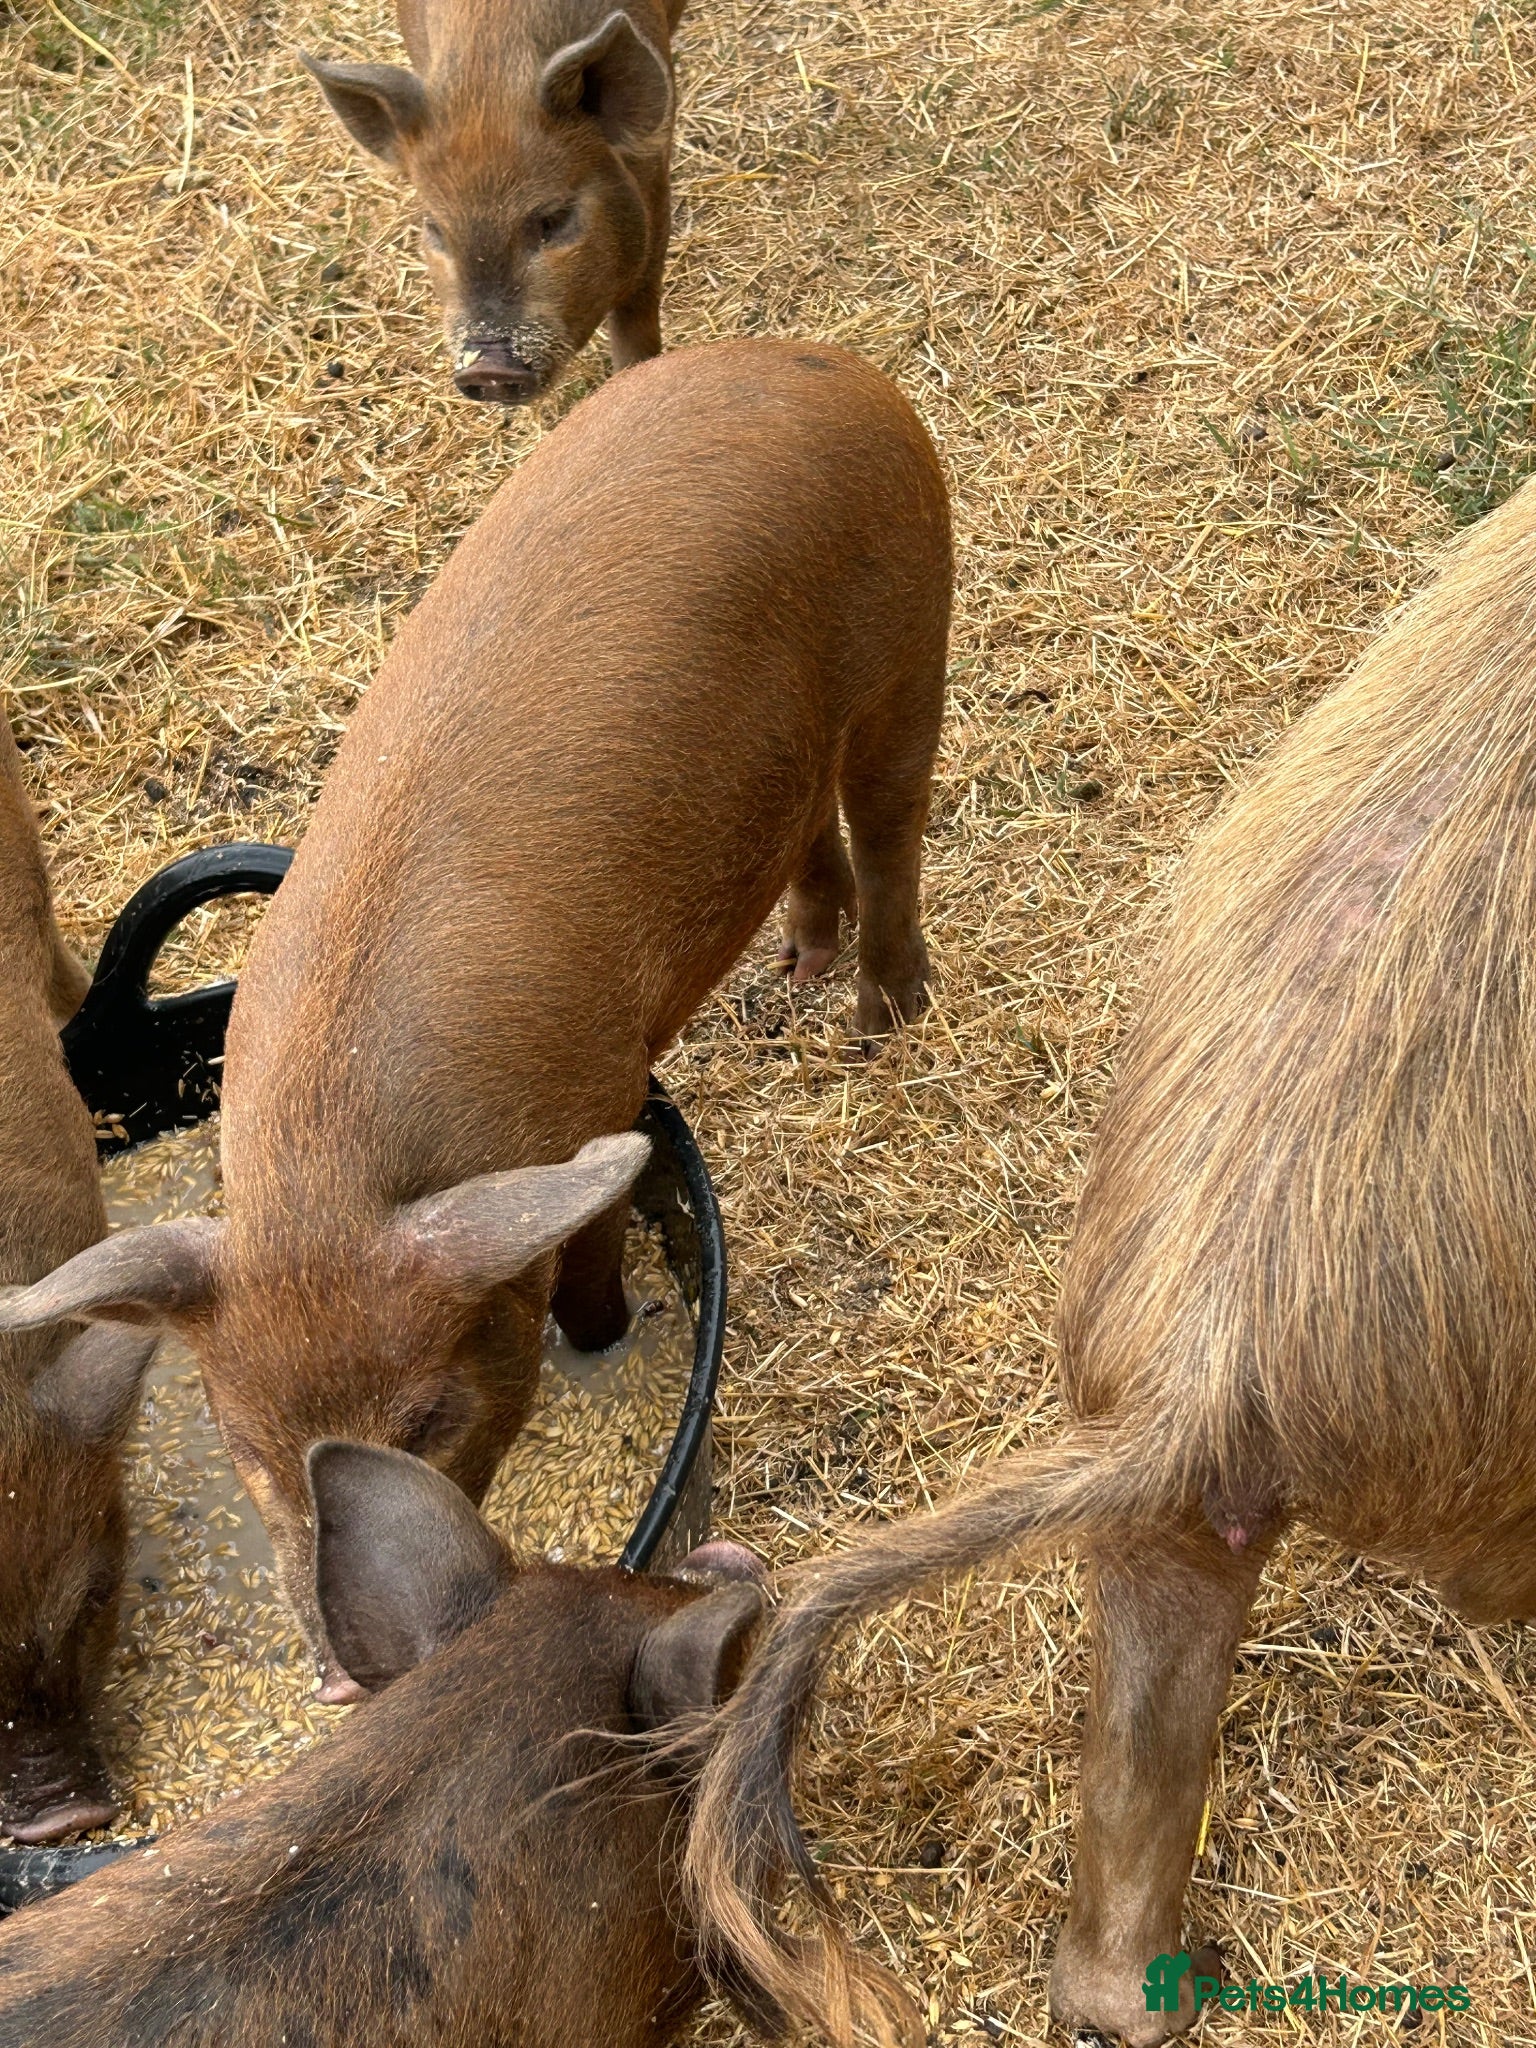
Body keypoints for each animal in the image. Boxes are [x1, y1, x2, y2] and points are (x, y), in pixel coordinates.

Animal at [0, 340, 951, 1701]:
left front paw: (595, 1338)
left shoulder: (605, 1084)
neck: (338, 1169)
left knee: (890, 820)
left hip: (908, 633)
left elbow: (596, 1243)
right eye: (246, 1440)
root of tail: (821, 365)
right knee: (809, 824)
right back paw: (798, 972)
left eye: (430, 1417)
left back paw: (883, 1019)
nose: (343, 1679)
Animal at [302, 0, 683, 402]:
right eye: (435, 228)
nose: (488, 369)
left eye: (554, 218)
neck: (489, 74)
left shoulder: (655, 180)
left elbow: (636, 320)